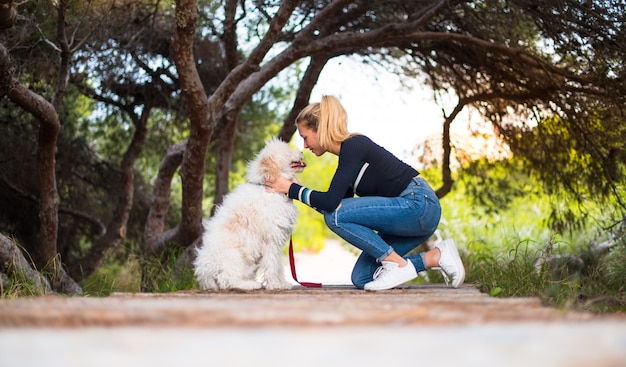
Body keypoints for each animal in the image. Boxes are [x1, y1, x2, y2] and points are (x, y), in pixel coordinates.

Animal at [193, 138, 304, 290]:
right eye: (287, 151)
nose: (302, 151)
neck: (266, 186)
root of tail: (205, 272)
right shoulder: (271, 240)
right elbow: (273, 265)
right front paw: (276, 284)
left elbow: (278, 266)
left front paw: (281, 283)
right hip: (234, 257)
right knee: (228, 280)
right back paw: (251, 285)